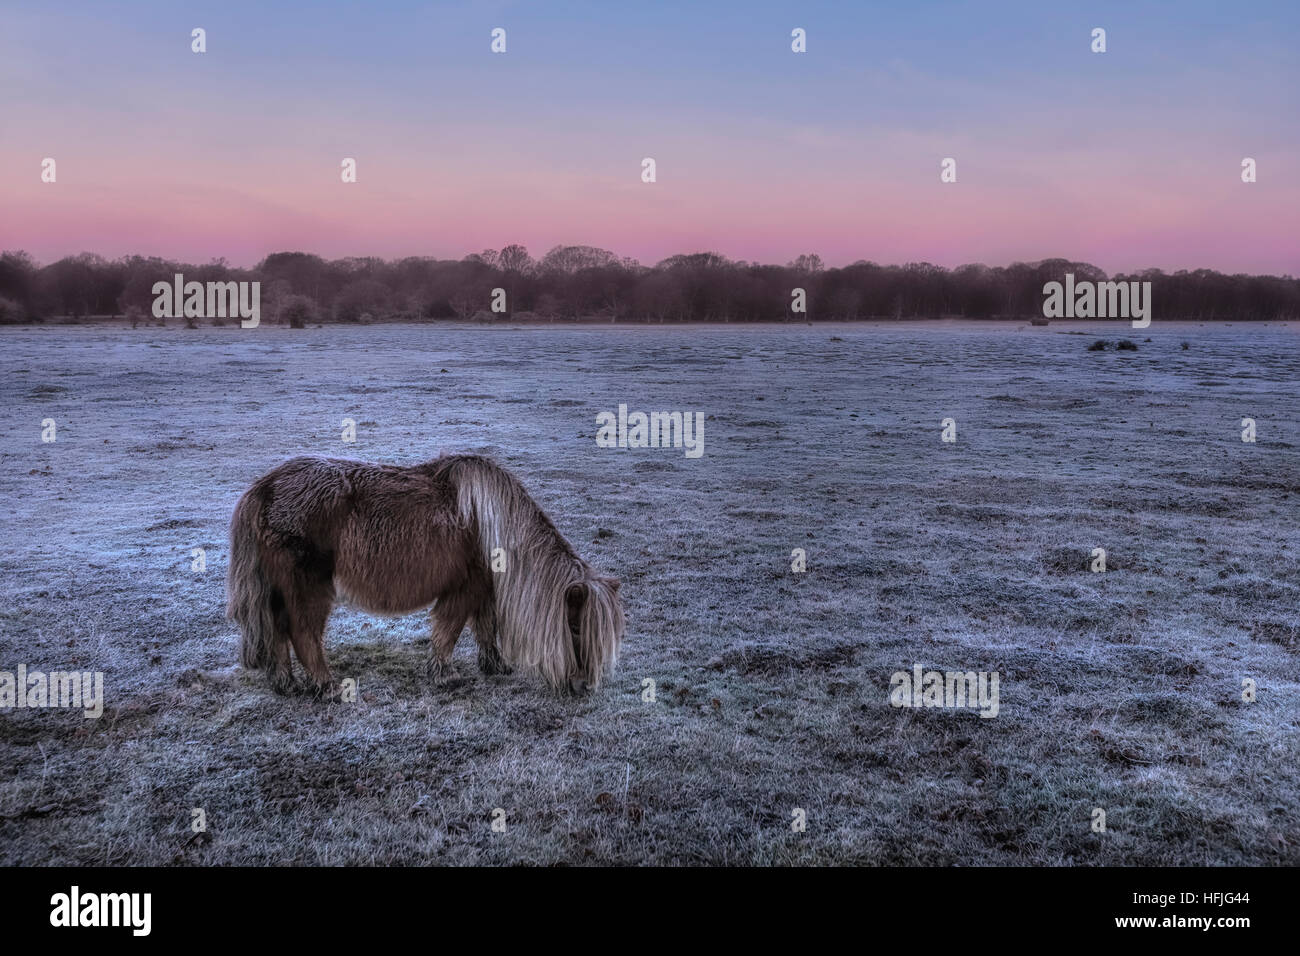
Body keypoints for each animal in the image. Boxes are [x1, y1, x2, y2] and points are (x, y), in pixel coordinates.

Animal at [224, 452, 624, 697]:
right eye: (575, 627)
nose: (584, 687)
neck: (490, 522)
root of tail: (264, 488)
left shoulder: (483, 589)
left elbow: (486, 626)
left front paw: (495, 666)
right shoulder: (464, 589)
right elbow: (449, 631)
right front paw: (444, 674)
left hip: (280, 590)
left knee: (277, 630)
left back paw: (286, 683)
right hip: (308, 588)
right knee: (302, 634)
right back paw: (327, 685)